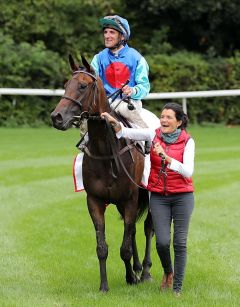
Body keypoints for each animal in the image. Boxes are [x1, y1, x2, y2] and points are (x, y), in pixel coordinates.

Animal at [50, 55, 154, 294]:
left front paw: (131, 278)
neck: (107, 152)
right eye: (66, 85)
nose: (56, 117)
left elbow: (124, 247)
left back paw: (144, 271)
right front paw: (104, 285)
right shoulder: (96, 201)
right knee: (133, 230)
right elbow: (102, 247)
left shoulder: (130, 199)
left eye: (82, 86)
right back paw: (136, 269)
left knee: (147, 228)